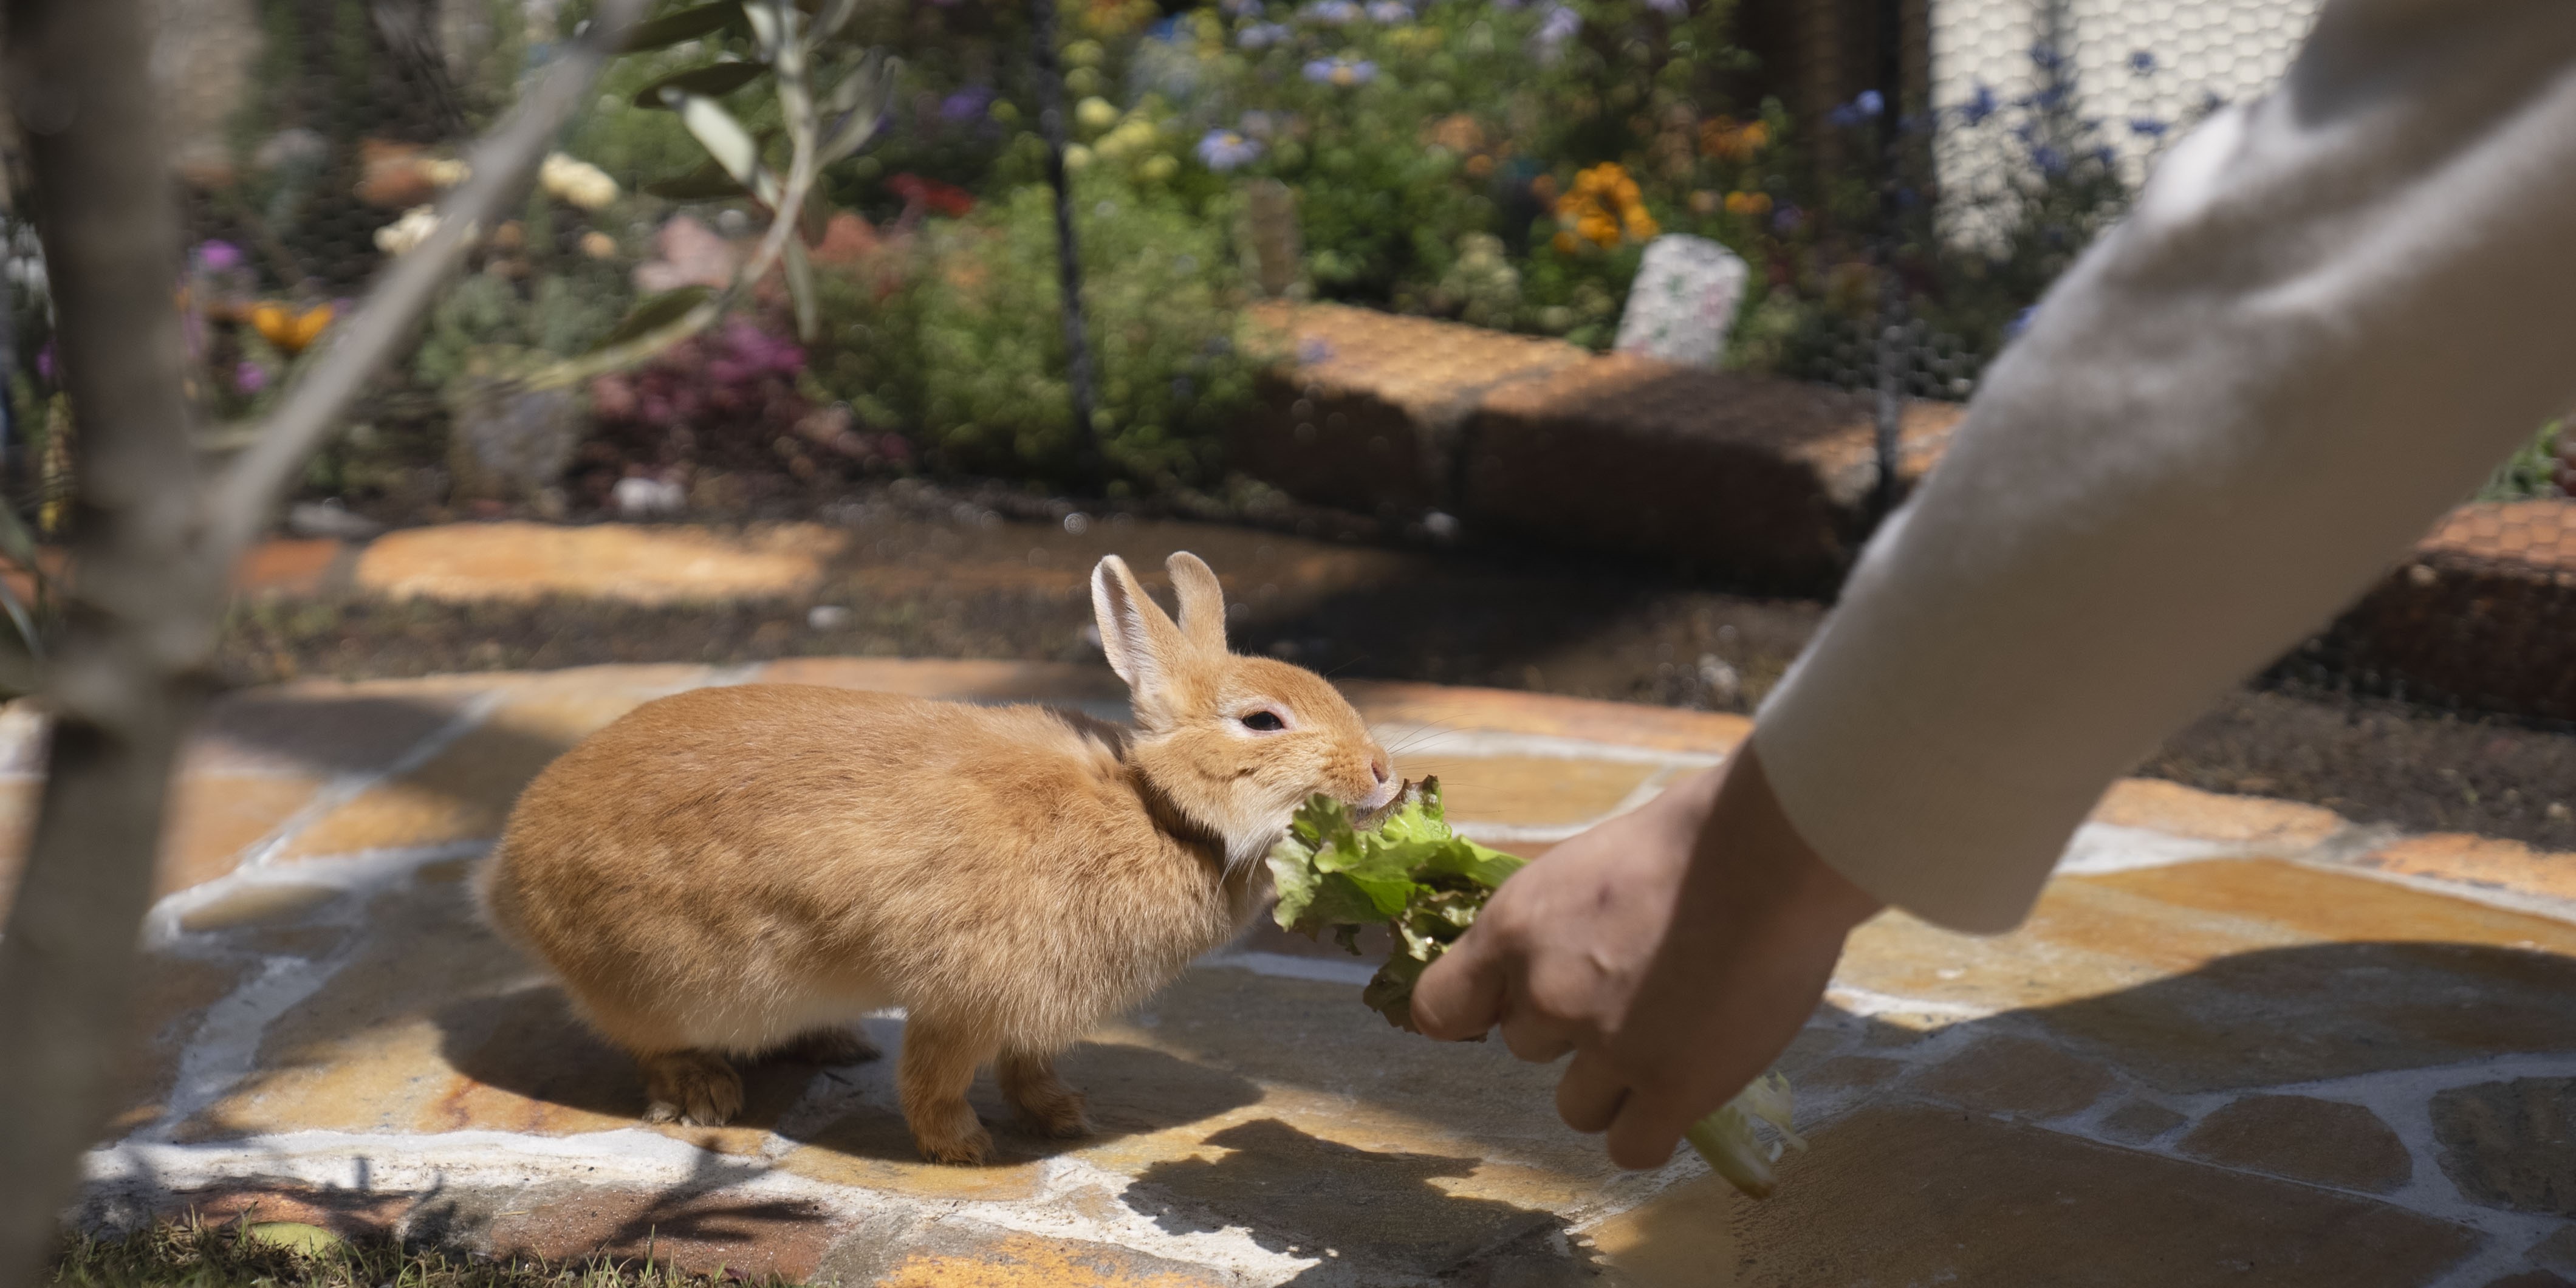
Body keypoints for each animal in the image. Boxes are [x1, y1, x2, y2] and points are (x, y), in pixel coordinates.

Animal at [464, 549, 1391, 1164]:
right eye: (1262, 720)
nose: (1384, 773)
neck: (1156, 811)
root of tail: (506, 876)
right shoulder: (964, 996)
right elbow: (937, 1077)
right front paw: (965, 1149)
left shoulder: (1031, 1010)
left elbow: (1028, 1066)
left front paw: (1065, 1117)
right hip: (664, 981)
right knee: (648, 1040)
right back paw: (702, 1094)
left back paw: (834, 1045)